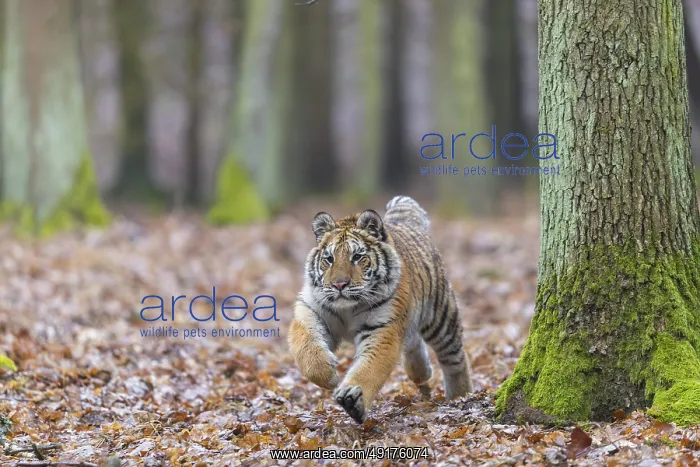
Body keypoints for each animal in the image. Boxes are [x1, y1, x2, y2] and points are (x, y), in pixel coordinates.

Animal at [288, 195, 473, 424]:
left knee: (455, 358)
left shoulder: (382, 328)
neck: (348, 307)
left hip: (441, 318)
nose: (339, 285)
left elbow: (369, 367)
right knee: (413, 343)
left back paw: (461, 396)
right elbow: (305, 343)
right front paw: (327, 376)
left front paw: (352, 399)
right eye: (329, 259)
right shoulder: (312, 309)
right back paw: (423, 372)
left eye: (357, 257)